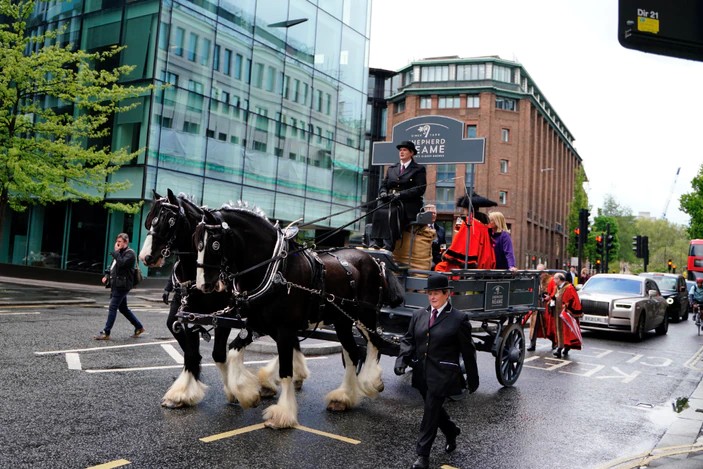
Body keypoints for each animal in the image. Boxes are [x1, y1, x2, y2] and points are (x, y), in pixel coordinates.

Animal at [139, 191, 310, 410]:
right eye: (149, 221)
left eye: (169, 221)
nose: (146, 257)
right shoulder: (186, 315)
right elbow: (190, 352)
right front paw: (182, 393)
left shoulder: (223, 318)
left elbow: (218, 354)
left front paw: (236, 392)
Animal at [192, 205, 404, 428]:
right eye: (195, 242)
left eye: (214, 244)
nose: (203, 285)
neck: (275, 269)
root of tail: (375, 260)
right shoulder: (258, 324)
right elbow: (233, 351)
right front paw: (247, 394)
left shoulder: (284, 328)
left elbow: (286, 369)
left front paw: (282, 413)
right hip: (342, 321)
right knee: (353, 354)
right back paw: (343, 397)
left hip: (365, 315)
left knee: (374, 343)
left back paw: (371, 382)